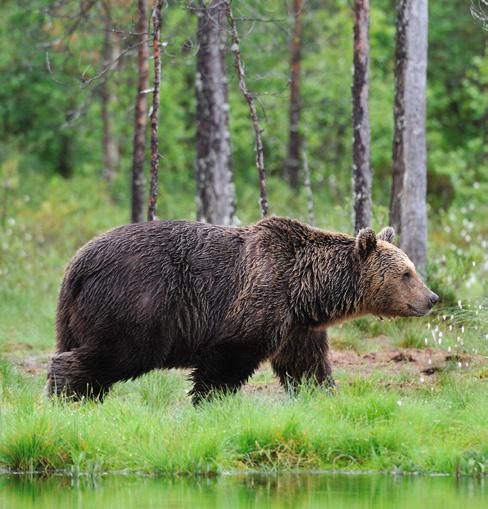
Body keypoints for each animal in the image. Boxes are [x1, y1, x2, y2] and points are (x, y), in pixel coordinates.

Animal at [47, 216, 440, 402]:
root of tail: (77, 263)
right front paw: (208, 401)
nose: (432, 297)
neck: (306, 290)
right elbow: (228, 360)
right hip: (138, 303)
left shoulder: (297, 326)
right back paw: (67, 394)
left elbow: (307, 366)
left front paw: (323, 397)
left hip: (75, 313)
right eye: (406, 274)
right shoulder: (261, 297)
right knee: (115, 353)